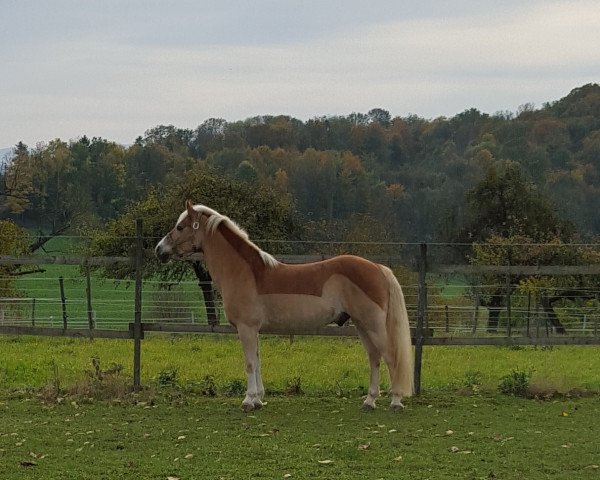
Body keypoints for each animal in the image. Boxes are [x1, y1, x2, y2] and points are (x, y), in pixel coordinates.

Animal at [157, 201, 414, 410]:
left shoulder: (246, 328)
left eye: (180, 227)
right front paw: (258, 399)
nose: (159, 250)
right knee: (374, 358)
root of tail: (377, 267)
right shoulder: (254, 330)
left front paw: (248, 401)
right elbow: (257, 362)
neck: (244, 272)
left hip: (373, 326)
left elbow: (249, 364)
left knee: (391, 357)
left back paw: (395, 401)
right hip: (362, 326)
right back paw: (369, 401)